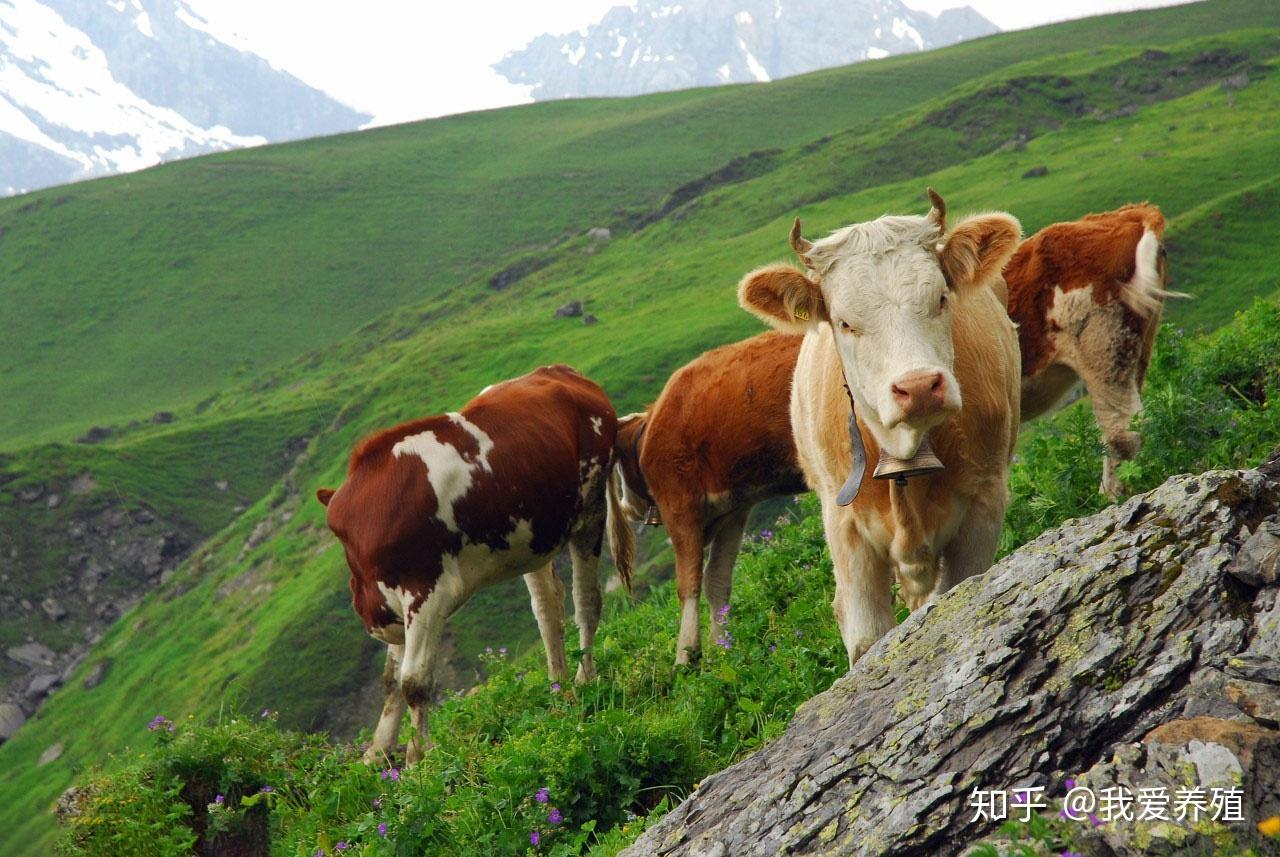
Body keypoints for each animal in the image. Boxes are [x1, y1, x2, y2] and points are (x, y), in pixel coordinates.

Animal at [316, 363, 634, 767]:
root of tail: (562, 372)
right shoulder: (392, 603)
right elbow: (390, 682)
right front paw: (377, 753)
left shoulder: (426, 594)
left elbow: (413, 682)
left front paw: (419, 757)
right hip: (532, 537)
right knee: (548, 611)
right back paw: (558, 686)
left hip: (590, 512)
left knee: (587, 602)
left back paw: (583, 678)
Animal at [614, 332, 803, 670]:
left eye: (619, 463)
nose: (630, 508)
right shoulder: (733, 510)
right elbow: (717, 579)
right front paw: (722, 647)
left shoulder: (679, 505)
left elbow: (688, 582)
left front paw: (686, 656)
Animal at [742, 191, 1018, 670]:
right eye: (845, 322)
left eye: (941, 298)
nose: (919, 386)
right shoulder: (844, 526)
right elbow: (868, 638)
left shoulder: (986, 500)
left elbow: (960, 595)